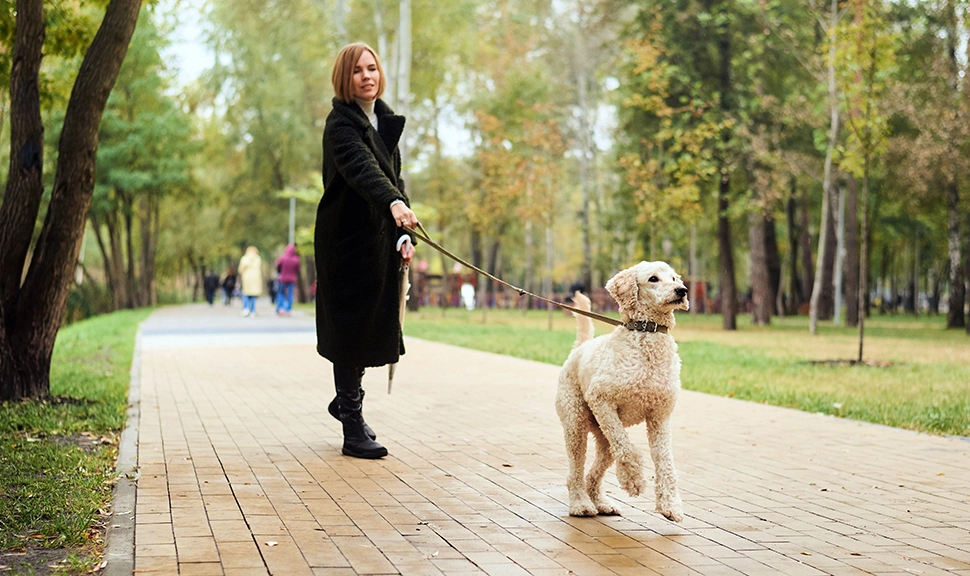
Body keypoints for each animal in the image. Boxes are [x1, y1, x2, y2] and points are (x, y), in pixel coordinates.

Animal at [552, 260, 688, 520]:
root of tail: (580, 348)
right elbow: (626, 448)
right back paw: (581, 504)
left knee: (593, 473)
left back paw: (602, 503)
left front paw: (670, 505)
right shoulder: (600, 398)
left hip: (603, 437)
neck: (647, 332)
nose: (682, 291)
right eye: (653, 279)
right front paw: (633, 480)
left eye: (674, 278)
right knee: (576, 471)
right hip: (576, 423)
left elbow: (665, 461)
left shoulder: (660, 416)